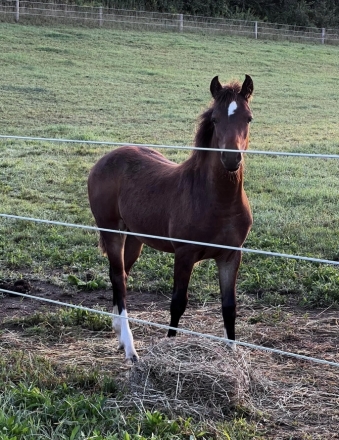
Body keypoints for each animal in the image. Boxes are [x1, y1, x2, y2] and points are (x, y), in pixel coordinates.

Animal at [89, 75, 254, 360]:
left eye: (248, 118)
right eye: (215, 119)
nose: (231, 159)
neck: (218, 202)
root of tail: (105, 159)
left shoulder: (231, 255)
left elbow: (229, 306)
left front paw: (232, 353)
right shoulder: (184, 254)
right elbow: (178, 302)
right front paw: (169, 346)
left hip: (135, 237)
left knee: (120, 274)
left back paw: (119, 332)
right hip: (111, 231)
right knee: (119, 278)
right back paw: (130, 348)